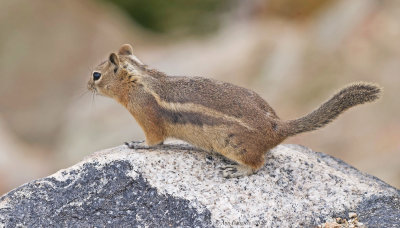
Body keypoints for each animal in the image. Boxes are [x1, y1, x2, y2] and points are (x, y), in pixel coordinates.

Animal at [87, 43, 382, 178]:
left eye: (96, 74)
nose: (87, 85)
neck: (140, 81)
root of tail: (277, 127)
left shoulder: (148, 118)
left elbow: (154, 142)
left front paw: (137, 145)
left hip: (233, 144)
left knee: (258, 163)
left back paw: (239, 170)